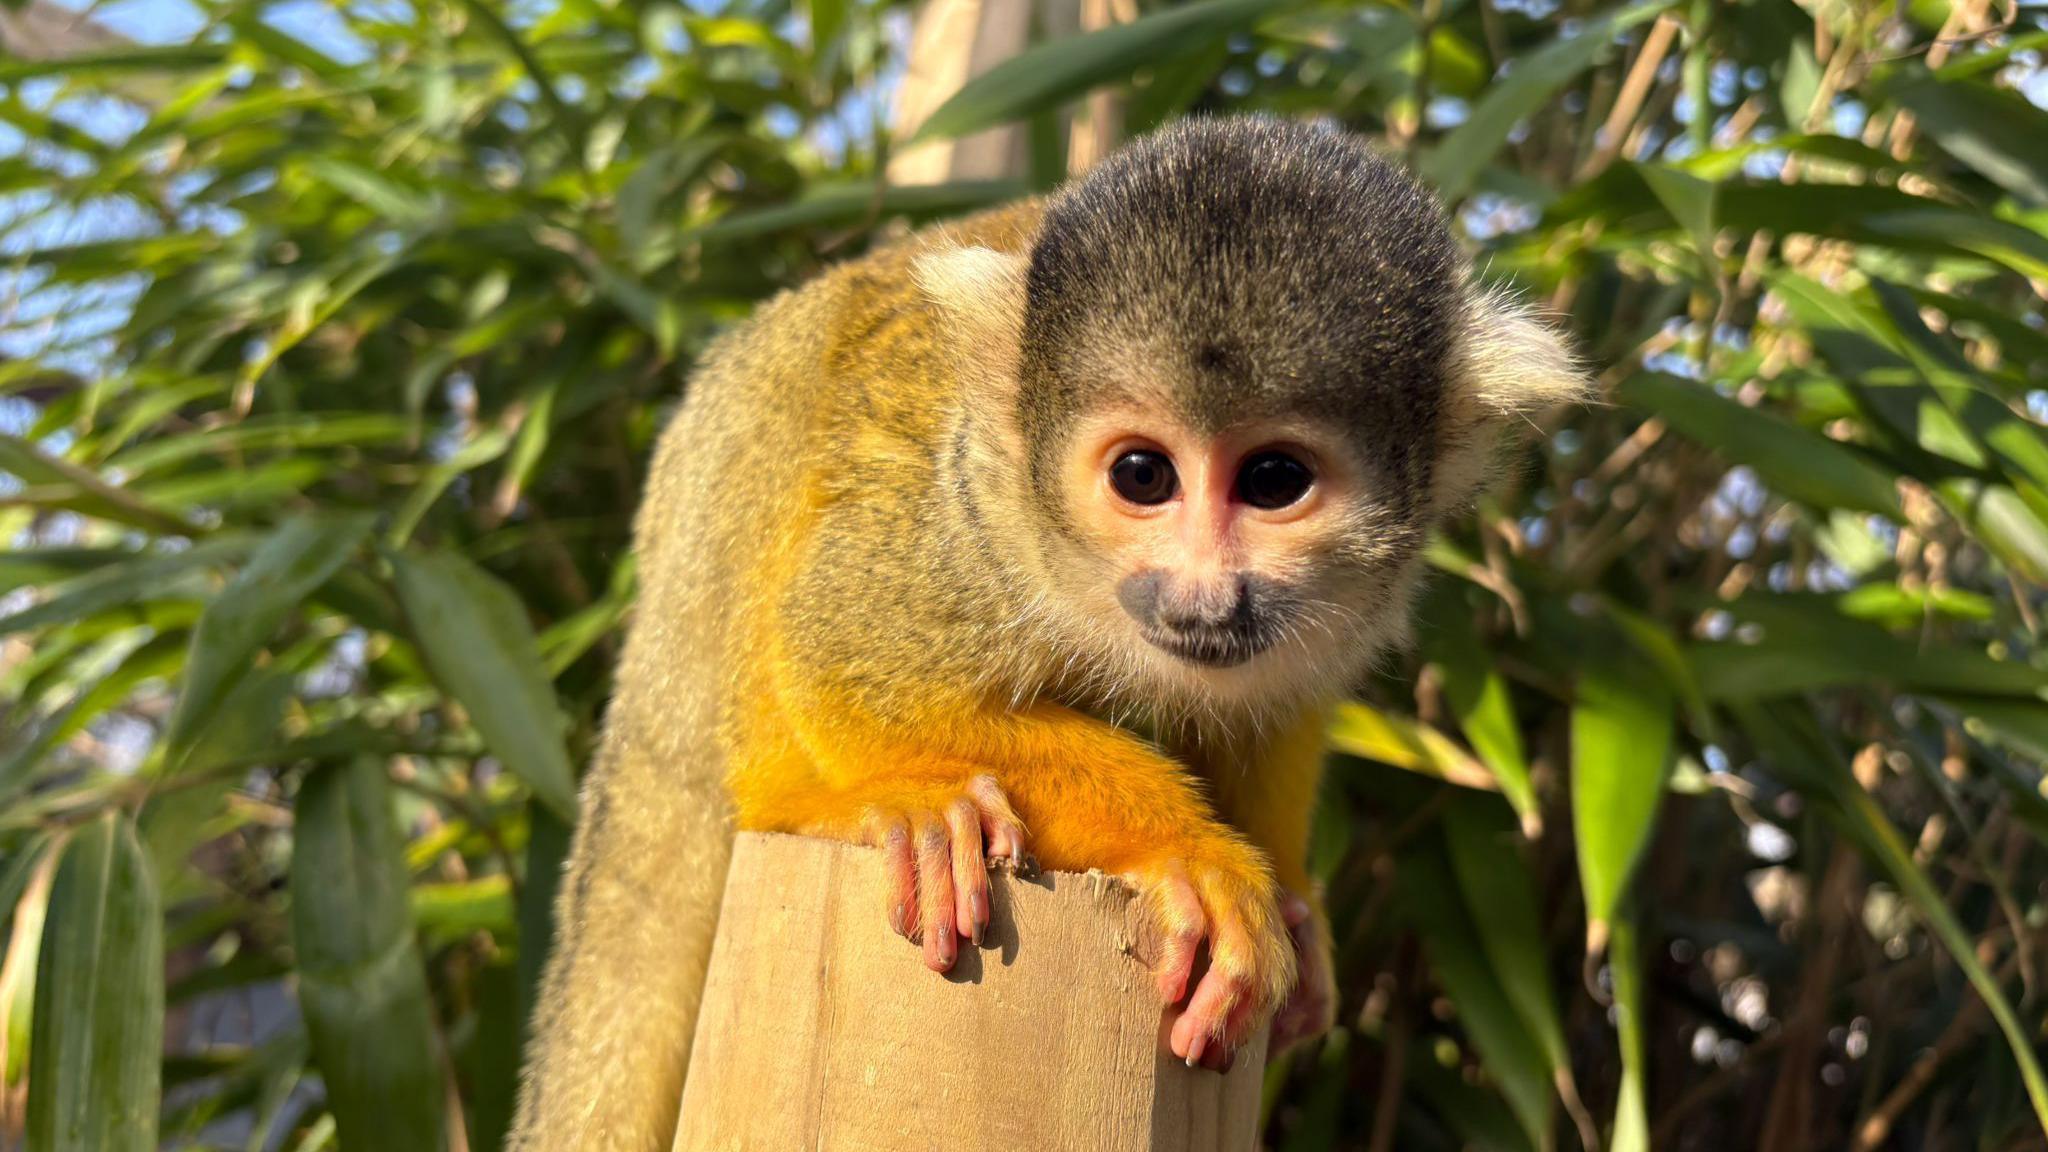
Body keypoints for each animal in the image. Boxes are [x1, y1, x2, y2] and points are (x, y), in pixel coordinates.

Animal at [507, 116, 1581, 1147]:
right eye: (1143, 475)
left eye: (1275, 481)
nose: (1202, 601)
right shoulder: (978, 515)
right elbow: (839, 655)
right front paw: (1188, 850)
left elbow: (1272, 711)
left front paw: (1293, 905)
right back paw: (834, 803)